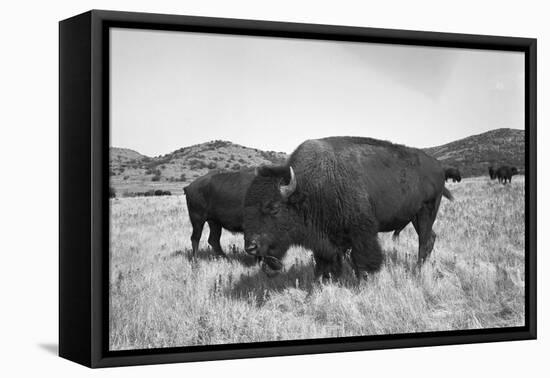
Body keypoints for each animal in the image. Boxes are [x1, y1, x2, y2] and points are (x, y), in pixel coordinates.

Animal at [244, 137, 454, 280]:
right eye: (246, 208)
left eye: (274, 208)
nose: (251, 247)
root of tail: (439, 167)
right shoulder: (326, 241)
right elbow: (326, 262)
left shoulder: (362, 233)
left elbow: (361, 260)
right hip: (416, 217)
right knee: (430, 238)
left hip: (427, 212)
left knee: (424, 241)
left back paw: (417, 272)